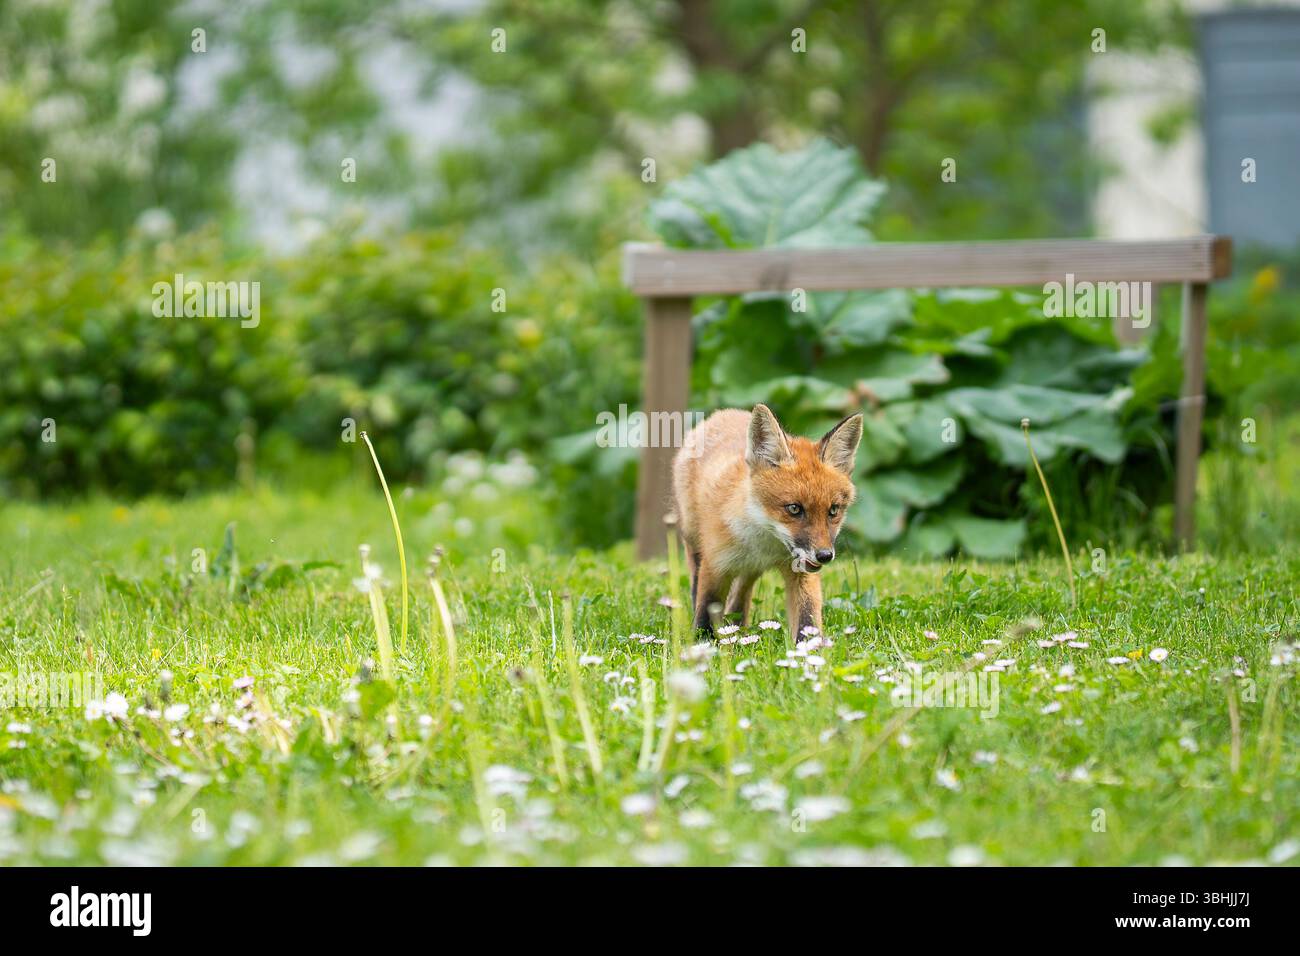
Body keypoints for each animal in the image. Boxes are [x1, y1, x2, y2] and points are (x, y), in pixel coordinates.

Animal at [672, 403, 863, 641]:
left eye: (833, 510)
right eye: (794, 508)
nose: (825, 556)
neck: (765, 544)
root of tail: (725, 412)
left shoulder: (801, 573)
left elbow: (807, 616)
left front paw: (810, 649)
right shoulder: (715, 564)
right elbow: (705, 610)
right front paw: (702, 643)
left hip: (749, 569)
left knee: (740, 596)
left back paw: (738, 627)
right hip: (694, 540)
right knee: (696, 582)